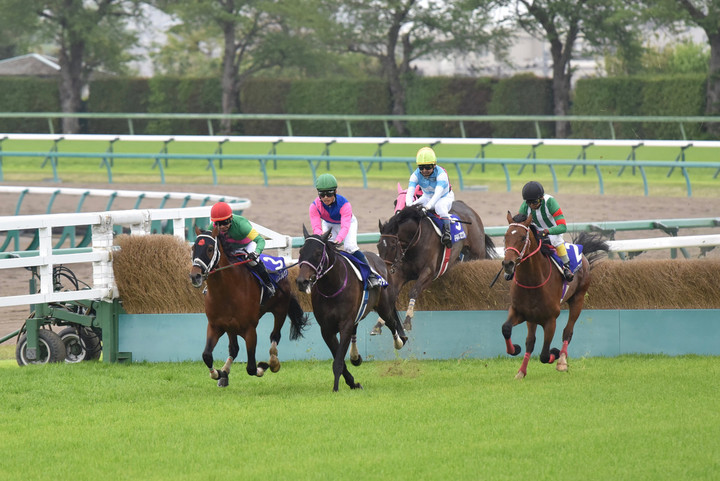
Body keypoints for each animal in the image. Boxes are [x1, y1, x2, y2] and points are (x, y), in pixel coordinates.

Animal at [190, 227, 308, 388]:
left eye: (209, 249)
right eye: (193, 248)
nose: (194, 276)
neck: (226, 291)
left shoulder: (250, 329)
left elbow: (251, 367)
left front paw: (263, 367)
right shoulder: (216, 325)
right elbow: (207, 355)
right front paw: (218, 373)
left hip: (280, 310)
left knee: (275, 336)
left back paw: (274, 362)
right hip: (231, 327)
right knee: (234, 348)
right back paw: (225, 373)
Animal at [296, 228, 408, 390]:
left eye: (317, 253)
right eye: (301, 251)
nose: (301, 282)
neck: (332, 287)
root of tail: (379, 260)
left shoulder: (345, 324)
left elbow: (338, 360)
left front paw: (336, 388)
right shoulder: (326, 329)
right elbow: (339, 359)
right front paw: (352, 382)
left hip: (384, 307)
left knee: (391, 322)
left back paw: (400, 341)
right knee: (357, 329)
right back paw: (355, 357)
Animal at [376, 200, 496, 330]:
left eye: (393, 246)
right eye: (378, 246)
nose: (385, 270)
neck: (415, 241)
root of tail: (466, 207)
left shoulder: (429, 272)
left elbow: (414, 291)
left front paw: (408, 319)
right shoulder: (403, 273)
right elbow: (392, 294)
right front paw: (380, 322)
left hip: (477, 251)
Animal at [500, 213, 608, 378]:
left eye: (523, 238)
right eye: (505, 236)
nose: (508, 264)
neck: (532, 281)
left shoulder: (550, 320)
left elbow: (544, 355)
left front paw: (555, 353)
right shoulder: (520, 312)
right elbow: (507, 329)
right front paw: (515, 352)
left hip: (578, 299)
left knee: (567, 332)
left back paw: (562, 361)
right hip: (533, 318)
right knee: (530, 341)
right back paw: (523, 370)